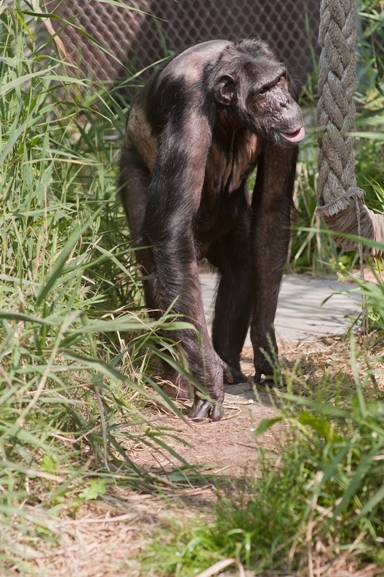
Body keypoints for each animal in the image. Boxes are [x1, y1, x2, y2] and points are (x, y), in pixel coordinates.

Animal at [118, 39, 304, 418]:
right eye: (264, 91)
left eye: (279, 82)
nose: (284, 103)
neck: (230, 114)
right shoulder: (187, 109)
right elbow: (172, 230)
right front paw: (207, 378)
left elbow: (272, 210)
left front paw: (266, 348)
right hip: (130, 166)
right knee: (156, 260)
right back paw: (176, 374)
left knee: (242, 264)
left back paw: (229, 363)